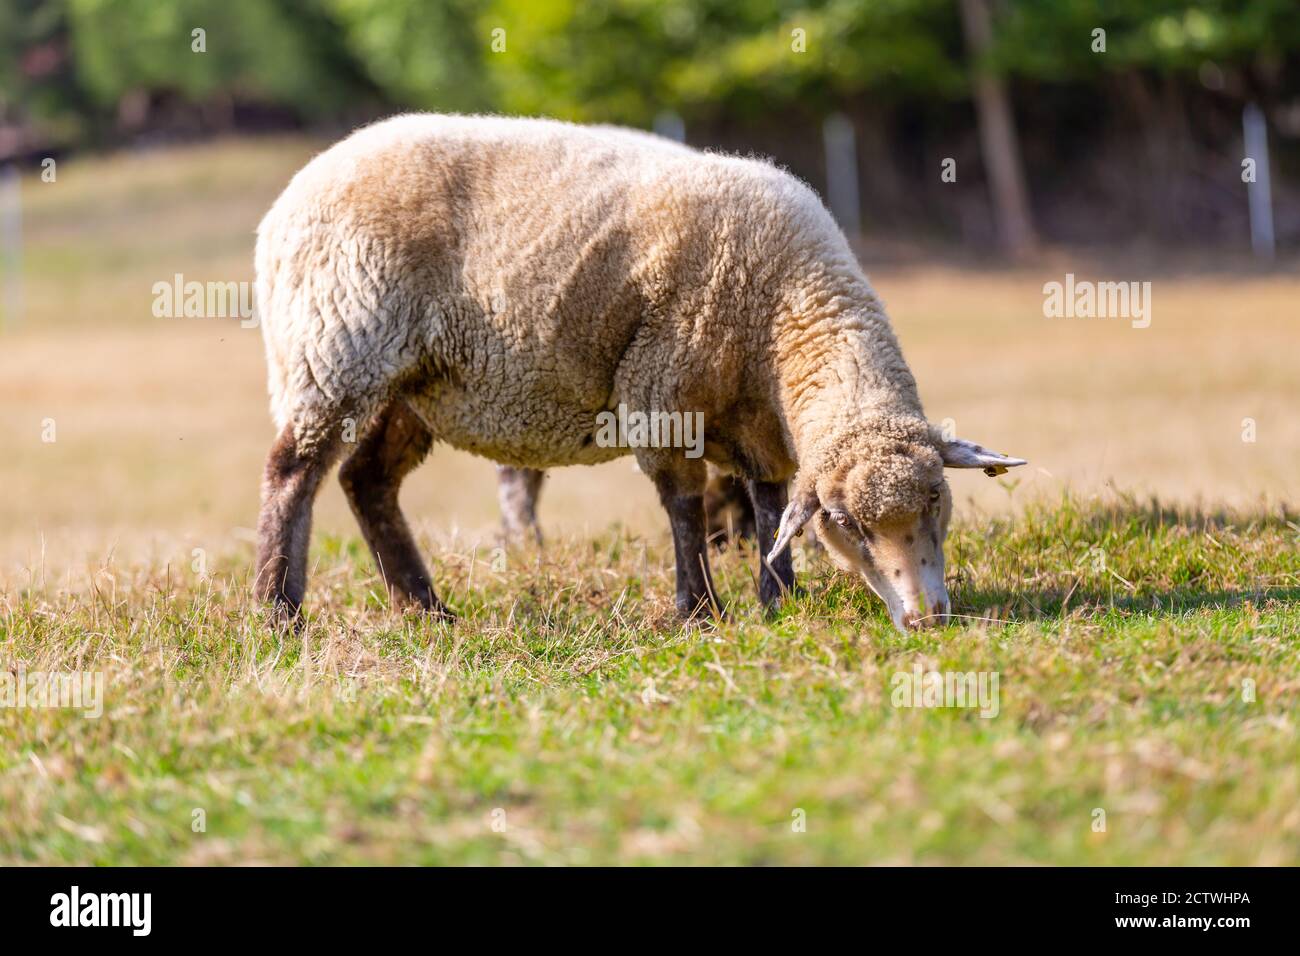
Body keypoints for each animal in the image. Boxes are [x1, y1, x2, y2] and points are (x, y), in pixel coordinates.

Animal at [252, 113, 1026, 630]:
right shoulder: (663, 389)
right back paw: (278, 612)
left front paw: (779, 596)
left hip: (412, 383)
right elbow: (683, 504)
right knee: (293, 474)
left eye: (937, 501)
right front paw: (700, 610)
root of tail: (291, 194)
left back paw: (425, 608)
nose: (928, 617)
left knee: (366, 481)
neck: (787, 305)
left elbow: (770, 503)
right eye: (847, 524)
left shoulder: (759, 423)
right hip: (335, 346)